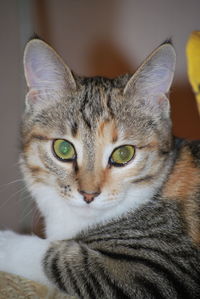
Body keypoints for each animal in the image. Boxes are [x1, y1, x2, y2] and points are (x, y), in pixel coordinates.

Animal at [0, 38, 200, 298]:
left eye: (123, 154)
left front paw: (5, 243)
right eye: (63, 149)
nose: (88, 194)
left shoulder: (163, 269)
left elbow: (63, 260)